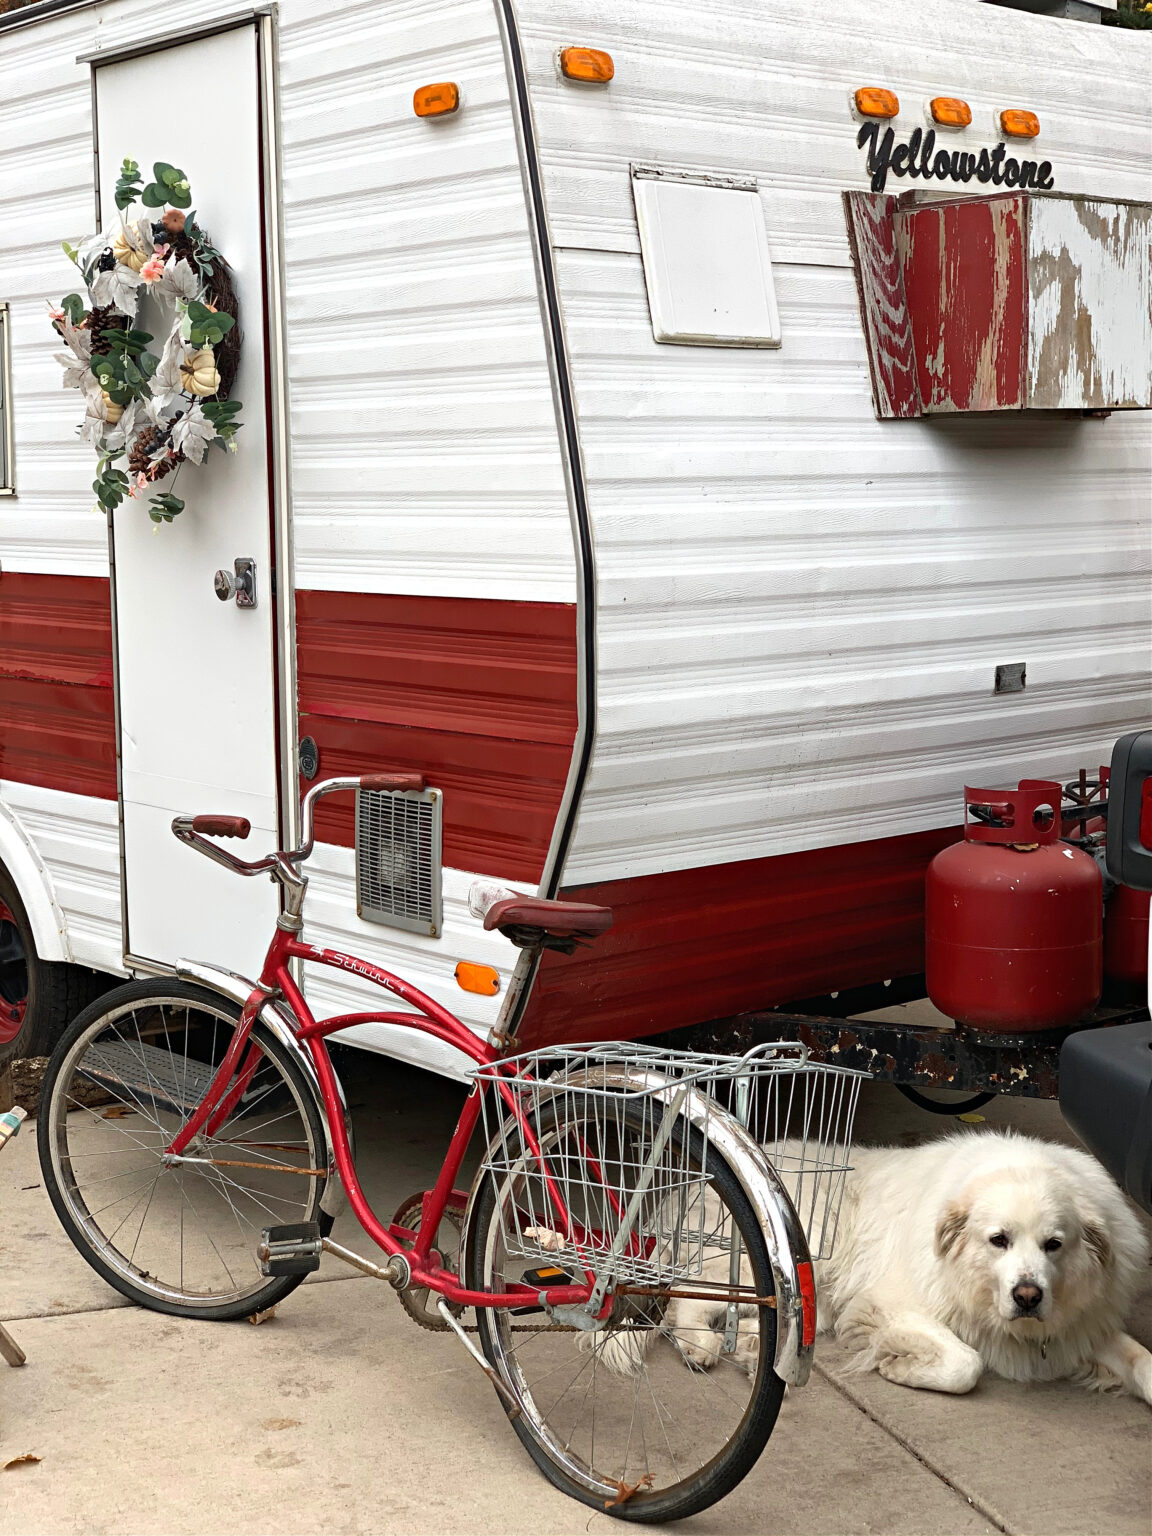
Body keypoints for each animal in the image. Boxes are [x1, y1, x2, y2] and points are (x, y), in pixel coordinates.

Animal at [823, 1130, 1152, 1406]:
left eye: (1053, 1244)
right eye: (999, 1240)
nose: (1028, 1296)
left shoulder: (1084, 1327)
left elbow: (1143, 1361)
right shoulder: (889, 1304)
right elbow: (966, 1365)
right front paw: (897, 1365)